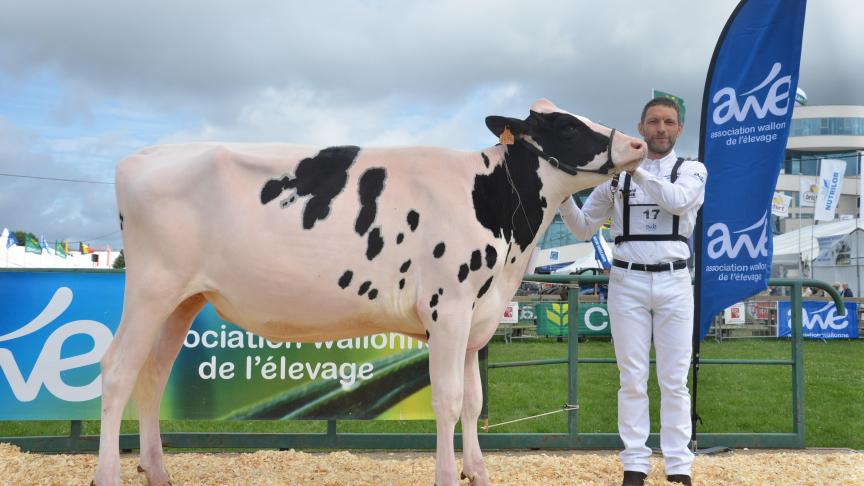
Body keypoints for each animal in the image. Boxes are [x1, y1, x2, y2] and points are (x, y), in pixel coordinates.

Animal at [96, 99, 640, 486]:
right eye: (566, 126)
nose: (636, 143)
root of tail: (142, 157)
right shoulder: (448, 307)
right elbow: (448, 399)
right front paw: (448, 476)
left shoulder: (475, 317)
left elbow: (473, 401)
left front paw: (478, 473)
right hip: (150, 288)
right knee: (118, 372)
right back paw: (109, 475)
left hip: (182, 300)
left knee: (153, 376)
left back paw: (157, 471)